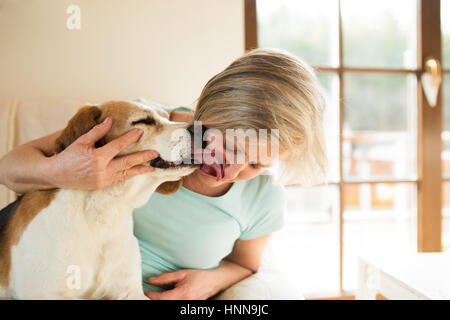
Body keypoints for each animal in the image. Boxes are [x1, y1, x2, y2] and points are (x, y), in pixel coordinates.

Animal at [0, 100, 199, 300]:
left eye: (168, 117)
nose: (202, 128)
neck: (107, 208)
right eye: (143, 120)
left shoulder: (130, 291)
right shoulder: (44, 292)